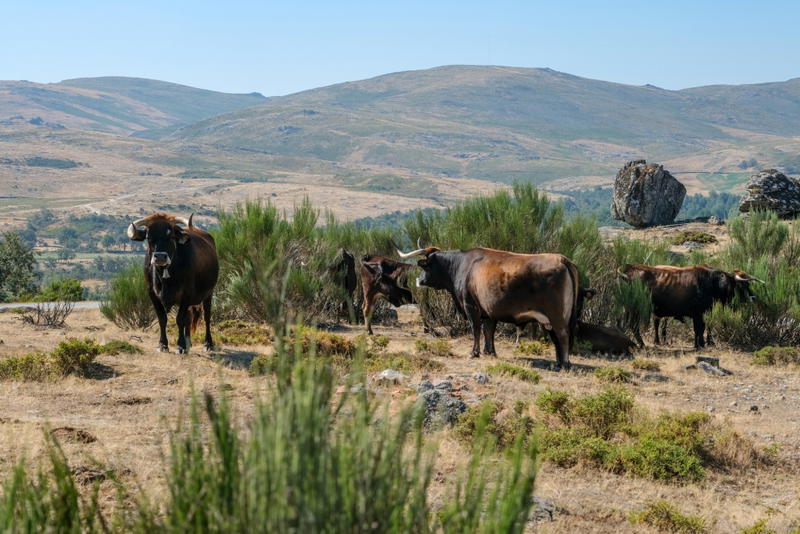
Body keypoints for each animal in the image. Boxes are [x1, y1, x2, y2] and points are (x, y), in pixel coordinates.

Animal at [127, 213, 219, 353]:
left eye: (170, 236)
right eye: (149, 237)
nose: (160, 257)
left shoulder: (186, 295)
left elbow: (179, 319)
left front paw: (180, 346)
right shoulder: (152, 294)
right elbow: (162, 319)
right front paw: (163, 344)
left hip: (208, 293)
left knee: (206, 317)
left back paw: (208, 343)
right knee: (189, 317)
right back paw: (188, 342)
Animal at [399, 244, 581, 370]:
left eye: (426, 265)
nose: (419, 280)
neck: (462, 265)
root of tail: (562, 259)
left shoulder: (471, 307)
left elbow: (476, 329)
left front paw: (474, 352)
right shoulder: (489, 312)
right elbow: (489, 331)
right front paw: (490, 352)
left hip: (556, 316)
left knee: (563, 335)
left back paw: (565, 363)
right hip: (549, 319)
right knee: (556, 339)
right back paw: (558, 363)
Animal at [619, 263, 763, 349]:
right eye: (742, 285)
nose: (754, 297)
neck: (712, 283)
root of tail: (629, 270)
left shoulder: (703, 314)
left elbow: (702, 329)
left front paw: (700, 344)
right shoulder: (698, 314)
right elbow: (699, 329)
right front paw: (700, 345)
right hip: (635, 309)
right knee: (634, 325)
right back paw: (642, 344)